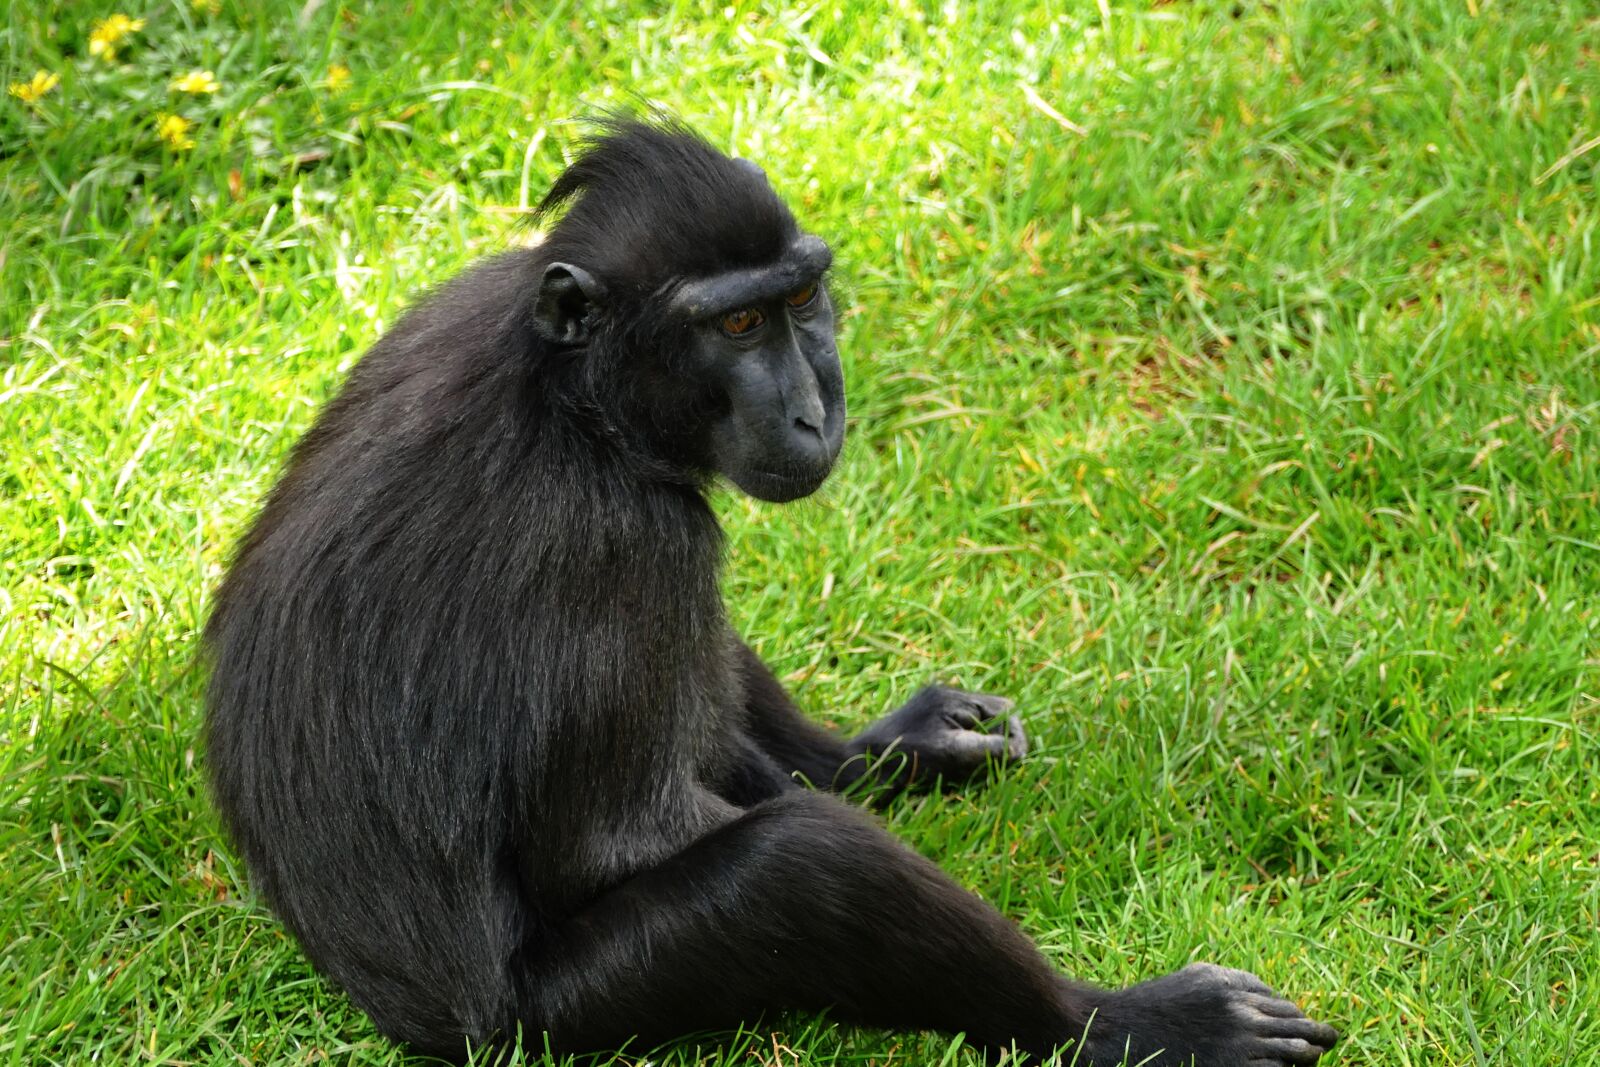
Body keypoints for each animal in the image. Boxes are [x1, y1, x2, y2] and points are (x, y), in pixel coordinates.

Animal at [204, 116, 1338, 1065]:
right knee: (802, 858)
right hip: (564, 1018)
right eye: (736, 325)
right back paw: (1119, 1023)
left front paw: (892, 749)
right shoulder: (625, 538)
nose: (812, 409)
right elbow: (607, 844)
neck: (573, 396)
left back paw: (880, 757)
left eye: (798, 301)